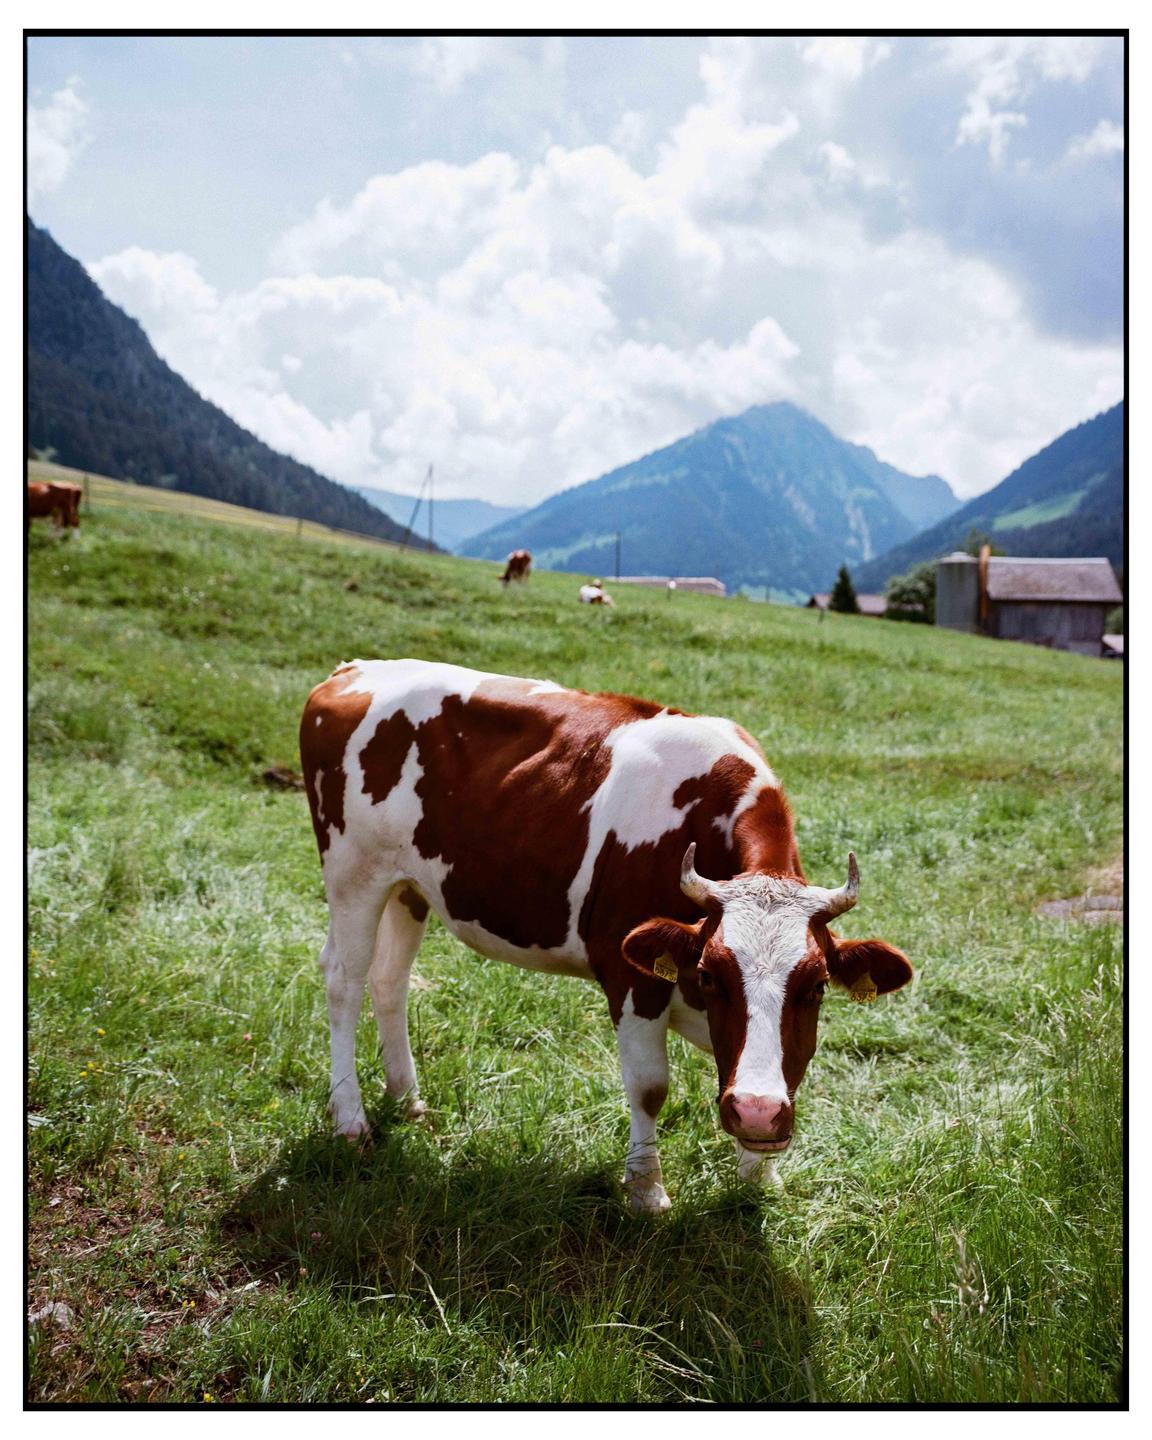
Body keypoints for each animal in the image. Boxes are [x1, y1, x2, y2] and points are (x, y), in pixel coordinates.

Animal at [299, 659, 912, 1214]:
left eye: (817, 985)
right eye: (710, 974)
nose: (759, 1113)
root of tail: (354, 669)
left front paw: (758, 1175)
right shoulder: (630, 973)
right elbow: (650, 1086)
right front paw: (646, 1192)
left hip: (410, 886)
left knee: (390, 980)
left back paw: (407, 1099)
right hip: (353, 871)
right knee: (344, 980)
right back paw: (350, 1119)